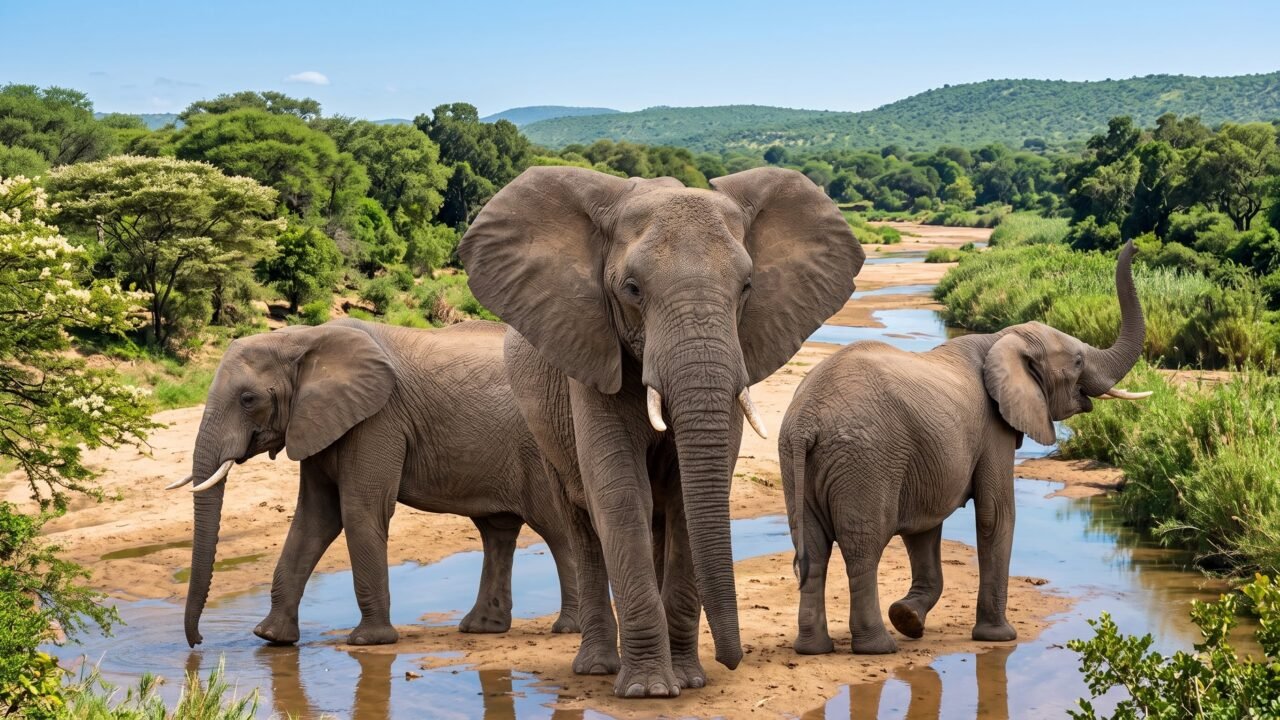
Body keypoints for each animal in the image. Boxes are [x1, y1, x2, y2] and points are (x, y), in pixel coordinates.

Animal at [175, 318, 579, 648]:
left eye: (248, 399)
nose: (198, 642)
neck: (301, 338)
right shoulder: (320, 422)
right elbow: (315, 519)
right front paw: (271, 637)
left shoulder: (378, 419)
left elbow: (360, 511)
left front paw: (368, 641)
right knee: (496, 531)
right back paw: (480, 628)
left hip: (544, 451)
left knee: (558, 531)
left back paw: (567, 629)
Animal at [459, 166, 864, 697]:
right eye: (632, 289)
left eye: (747, 286)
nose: (733, 661)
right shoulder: (592, 353)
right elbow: (619, 494)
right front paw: (648, 690)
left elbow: (683, 502)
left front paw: (687, 680)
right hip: (542, 426)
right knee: (580, 523)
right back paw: (598, 667)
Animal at [780, 240, 1147, 655]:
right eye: (1079, 360)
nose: (1136, 245)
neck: (1004, 337)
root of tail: (807, 420)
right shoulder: (992, 429)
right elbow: (995, 514)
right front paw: (999, 637)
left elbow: (923, 528)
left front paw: (908, 618)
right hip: (865, 460)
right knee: (863, 547)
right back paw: (877, 647)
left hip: (799, 461)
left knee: (812, 548)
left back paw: (813, 648)